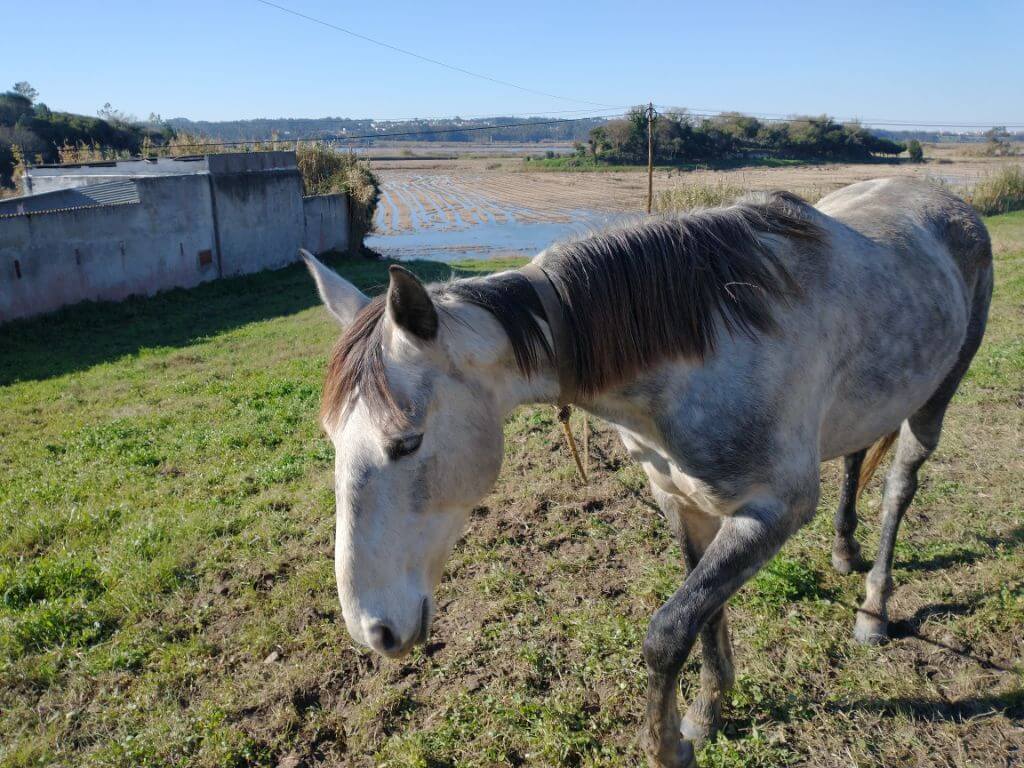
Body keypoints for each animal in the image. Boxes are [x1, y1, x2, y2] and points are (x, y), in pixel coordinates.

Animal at [301, 177, 991, 765]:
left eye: (407, 442)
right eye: (332, 437)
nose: (373, 631)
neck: (706, 340)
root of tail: (947, 201)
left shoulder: (774, 511)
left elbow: (669, 631)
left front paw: (668, 745)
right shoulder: (681, 501)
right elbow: (703, 617)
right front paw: (707, 714)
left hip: (935, 400)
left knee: (899, 485)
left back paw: (873, 608)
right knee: (855, 458)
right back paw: (845, 552)